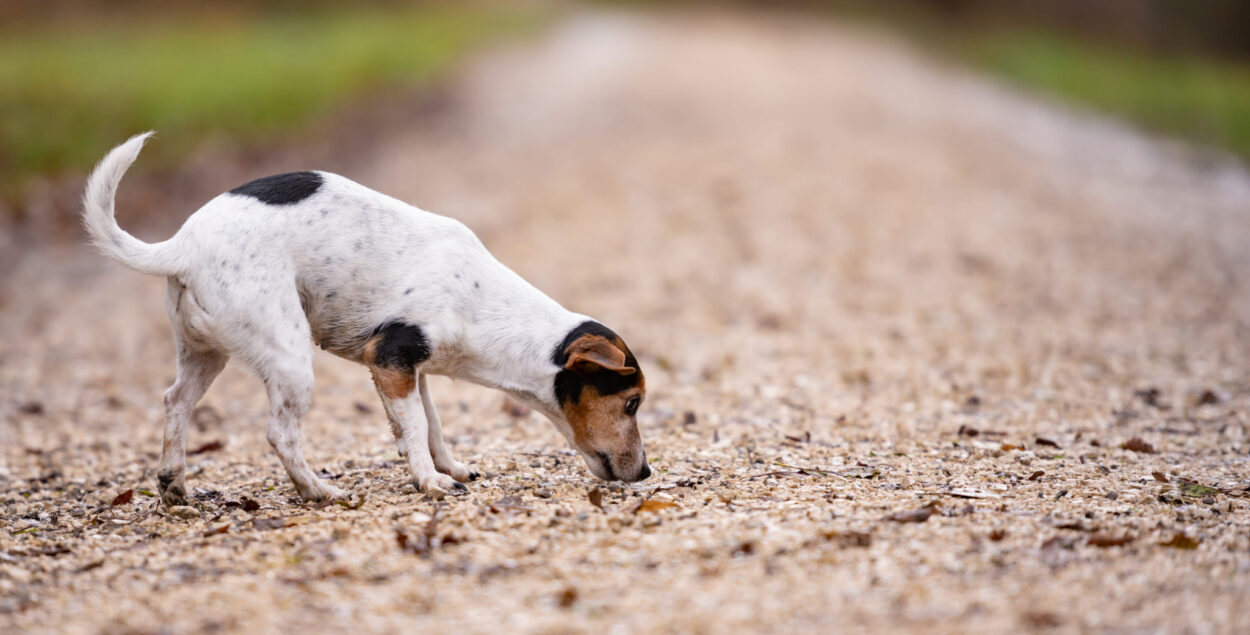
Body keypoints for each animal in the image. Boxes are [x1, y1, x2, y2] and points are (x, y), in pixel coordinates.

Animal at [81, 133, 650, 505]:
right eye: (632, 402)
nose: (645, 472)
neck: (484, 305)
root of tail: (181, 246)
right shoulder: (392, 359)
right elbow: (416, 429)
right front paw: (429, 481)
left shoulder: (412, 373)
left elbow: (430, 425)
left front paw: (448, 467)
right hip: (289, 357)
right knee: (279, 433)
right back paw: (317, 491)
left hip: (205, 354)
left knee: (174, 402)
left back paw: (174, 485)